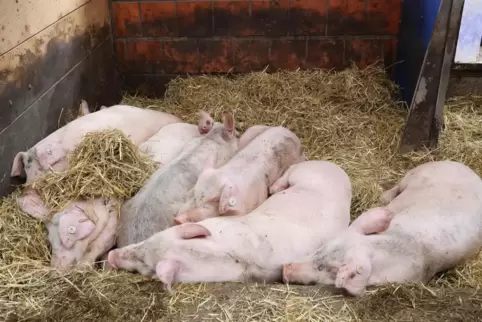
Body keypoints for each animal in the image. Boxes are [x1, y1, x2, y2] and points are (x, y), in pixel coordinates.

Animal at [280, 161, 482, 296]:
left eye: (327, 269)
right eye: (319, 250)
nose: (285, 269)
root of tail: (469, 170)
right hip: (416, 173)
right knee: (398, 186)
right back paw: (384, 198)